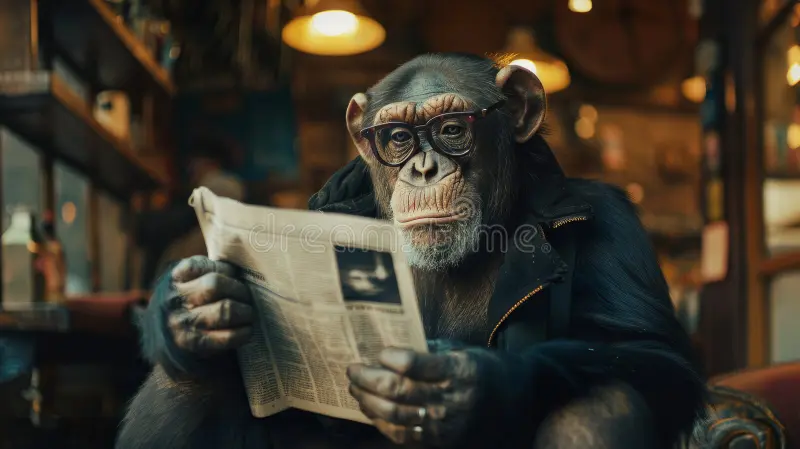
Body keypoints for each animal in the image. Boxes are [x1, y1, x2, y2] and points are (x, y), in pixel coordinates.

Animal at [116, 53, 707, 449]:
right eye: (398, 138)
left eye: (451, 129)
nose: (423, 169)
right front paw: (188, 309)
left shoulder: (613, 222)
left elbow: (654, 355)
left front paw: (471, 384)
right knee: (187, 387)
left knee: (602, 400)